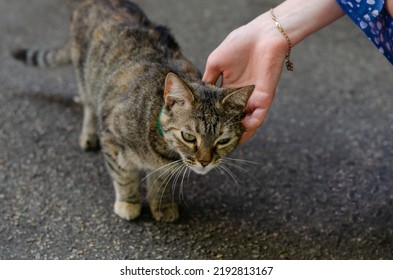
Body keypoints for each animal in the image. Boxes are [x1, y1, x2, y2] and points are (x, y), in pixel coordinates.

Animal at [12, 0, 253, 223]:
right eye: (189, 136)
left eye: (223, 141)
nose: (205, 162)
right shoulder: (112, 138)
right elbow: (123, 176)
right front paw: (129, 203)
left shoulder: (165, 167)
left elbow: (161, 182)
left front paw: (162, 204)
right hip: (85, 78)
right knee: (89, 106)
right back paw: (88, 135)